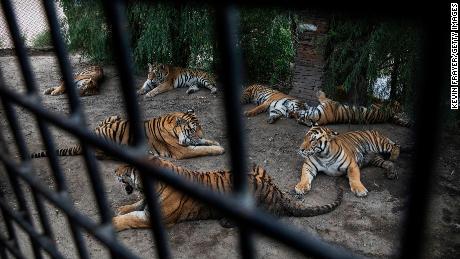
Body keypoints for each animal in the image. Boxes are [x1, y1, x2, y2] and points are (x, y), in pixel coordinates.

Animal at [29, 110, 225, 161]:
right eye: (193, 129)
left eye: (201, 127)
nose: (200, 134)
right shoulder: (182, 151)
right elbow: (202, 149)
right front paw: (219, 149)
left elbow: (204, 143)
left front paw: (213, 141)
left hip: (112, 117)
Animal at [111, 157, 342, 233]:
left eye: (127, 167)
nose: (114, 171)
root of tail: (277, 193)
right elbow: (135, 204)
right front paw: (121, 207)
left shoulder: (154, 218)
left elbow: (130, 219)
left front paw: (113, 222)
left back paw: (227, 221)